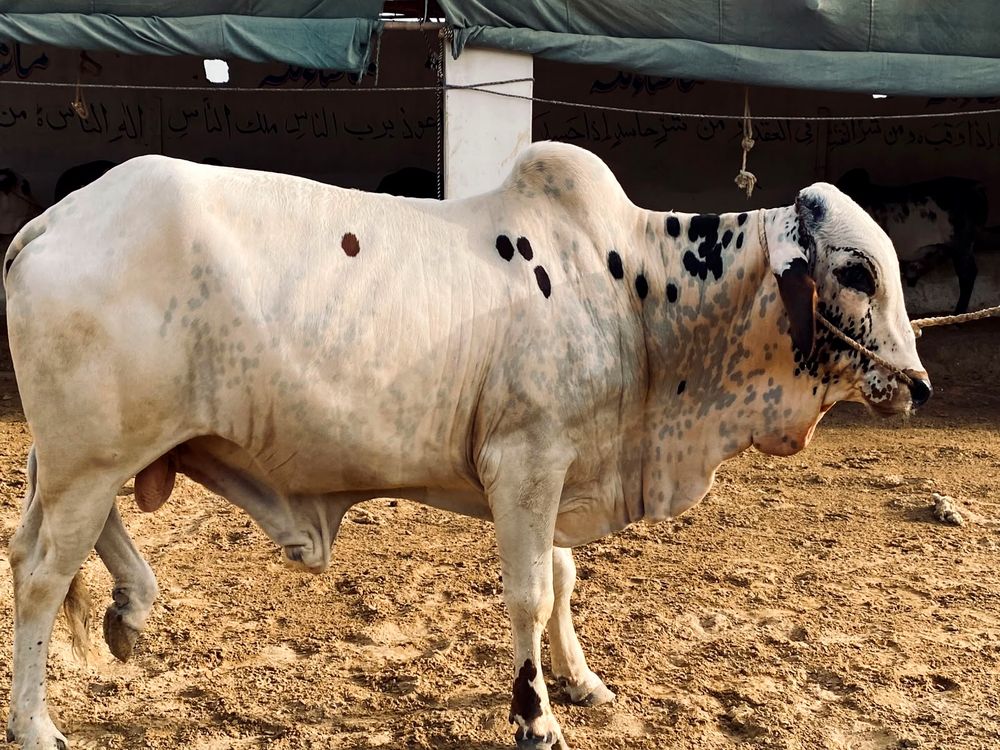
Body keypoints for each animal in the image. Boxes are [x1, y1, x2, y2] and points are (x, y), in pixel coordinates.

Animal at [4, 142, 930, 750]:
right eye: (857, 271)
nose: (917, 385)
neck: (637, 291)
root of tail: (51, 222)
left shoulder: (561, 469)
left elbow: (564, 581)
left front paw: (581, 681)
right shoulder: (525, 462)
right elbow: (528, 595)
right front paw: (535, 717)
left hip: (90, 456)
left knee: (43, 546)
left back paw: (131, 611)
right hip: (91, 457)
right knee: (43, 576)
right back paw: (38, 721)